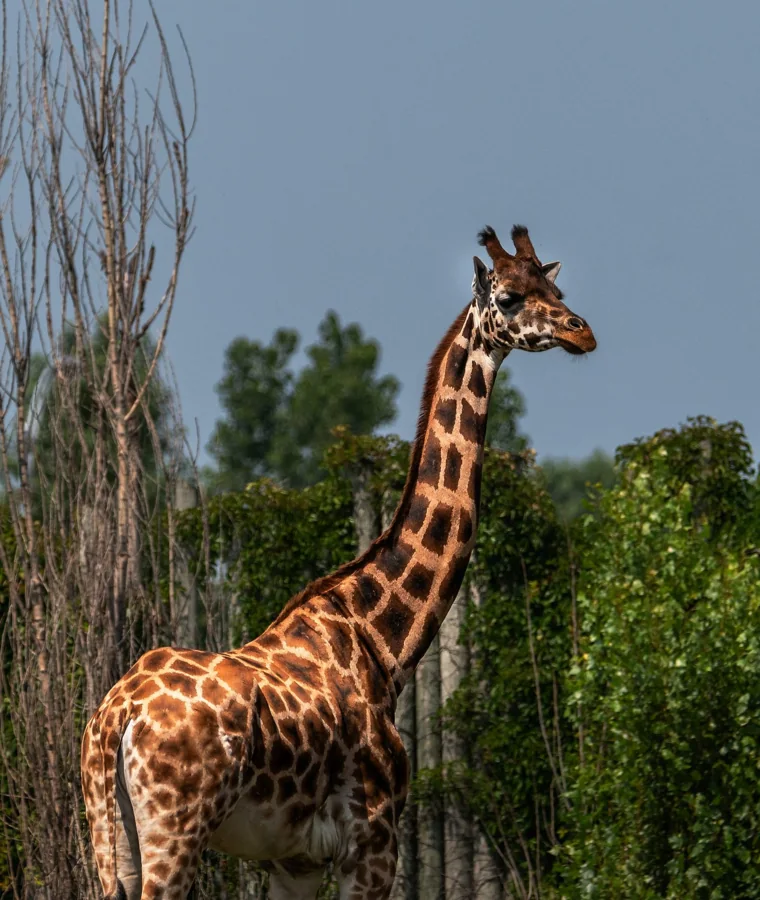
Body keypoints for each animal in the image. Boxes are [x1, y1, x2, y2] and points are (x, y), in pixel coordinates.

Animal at [81, 224, 596, 900]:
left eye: (556, 290)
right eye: (509, 297)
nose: (581, 332)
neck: (383, 642)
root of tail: (117, 717)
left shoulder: (292, 861)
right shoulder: (373, 841)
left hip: (108, 836)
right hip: (176, 830)